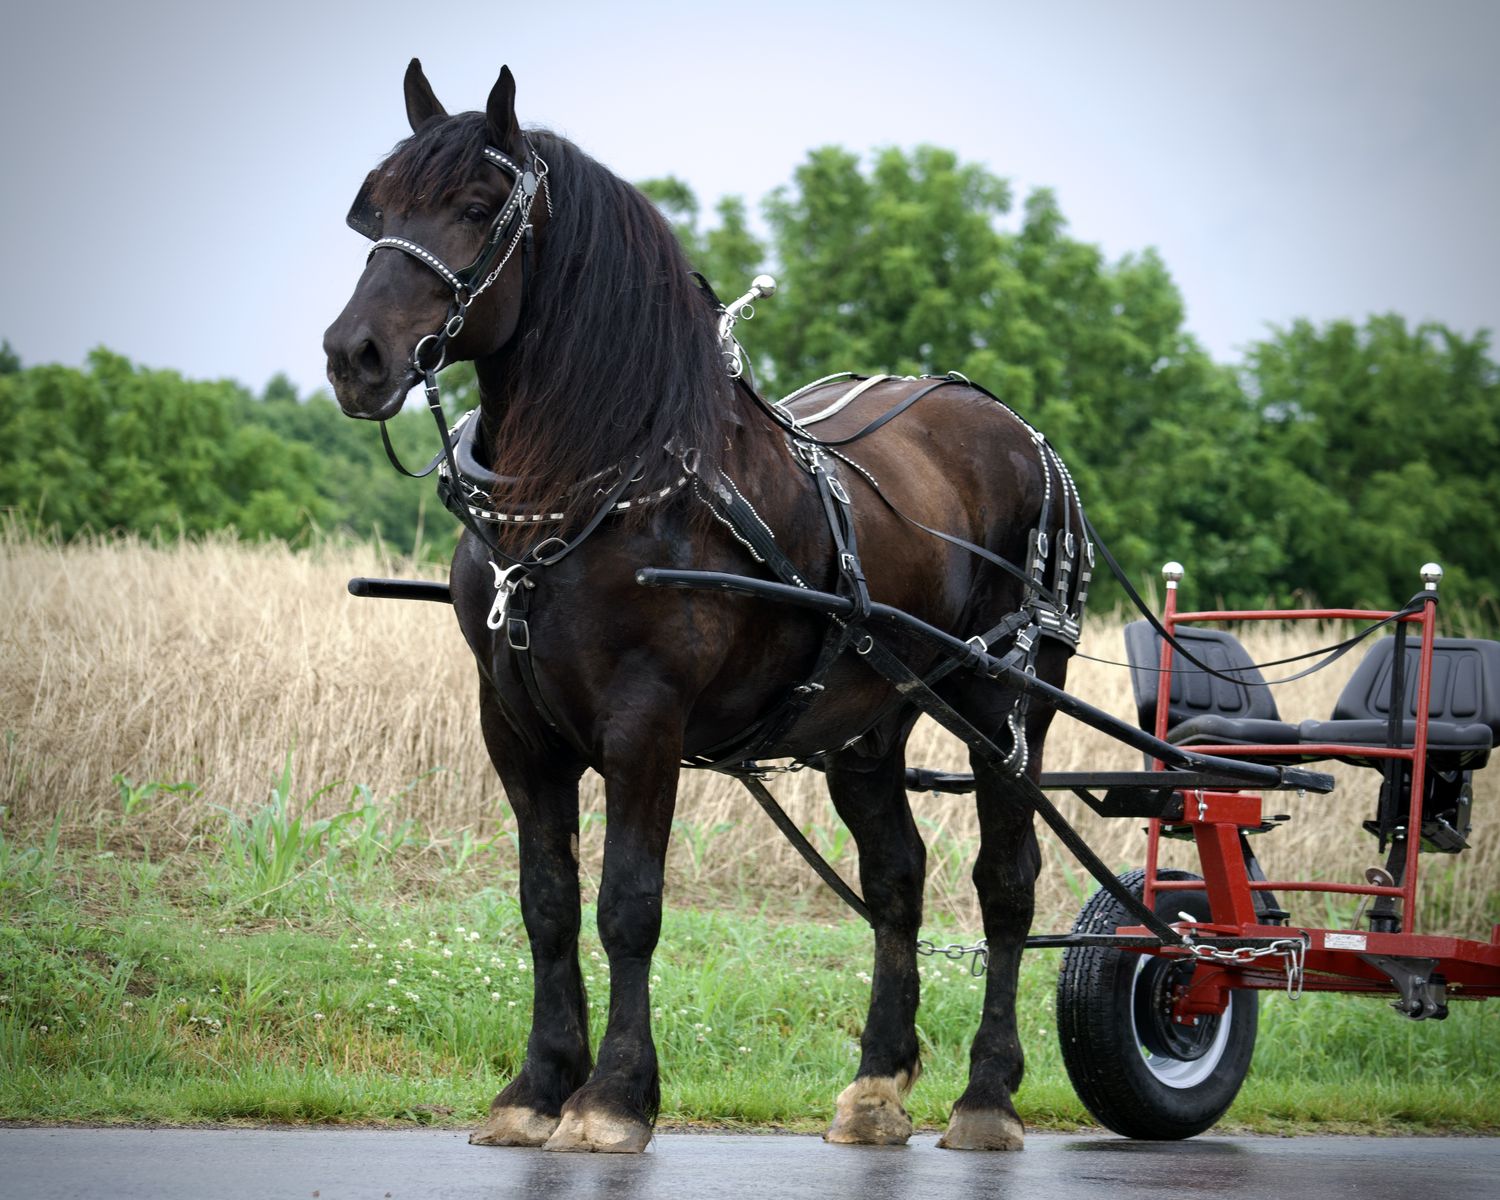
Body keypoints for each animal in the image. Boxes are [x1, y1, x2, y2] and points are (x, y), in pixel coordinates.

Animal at [323, 60, 1087, 1154]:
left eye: (474, 206)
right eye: (375, 208)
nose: (356, 356)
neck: (601, 483)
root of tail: (1015, 428)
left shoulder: (645, 721)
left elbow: (628, 904)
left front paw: (612, 1098)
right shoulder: (513, 726)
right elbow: (547, 902)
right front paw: (536, 1085)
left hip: (1005, 704)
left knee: (1008, 884)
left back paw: (987, 1095)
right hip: (866, 724)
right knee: (896, 880)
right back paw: (877, 1083)